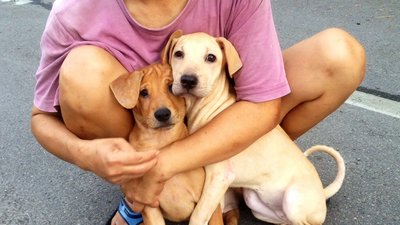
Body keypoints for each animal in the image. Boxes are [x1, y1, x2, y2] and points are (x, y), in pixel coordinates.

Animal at [109, 62, 223, 225]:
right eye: (143, 92)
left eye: (170, 87)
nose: (162, 114)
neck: (161, 141)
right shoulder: (149, 206)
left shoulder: (208, 204)